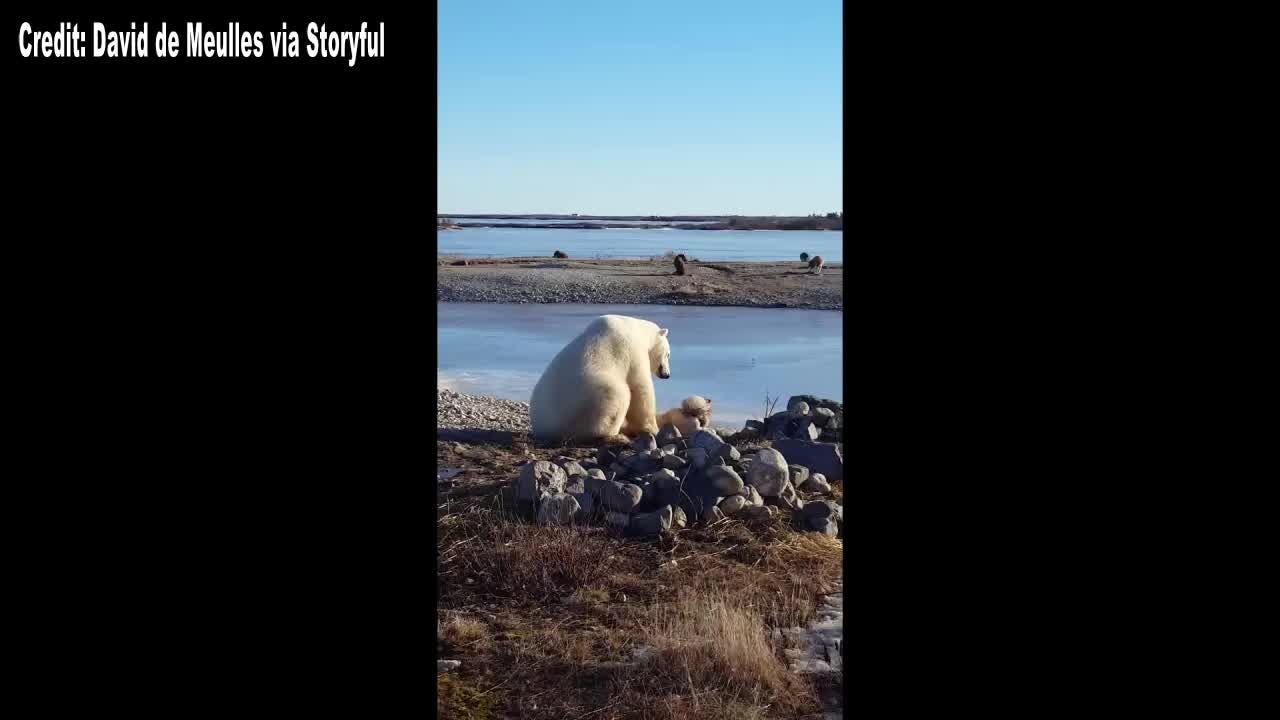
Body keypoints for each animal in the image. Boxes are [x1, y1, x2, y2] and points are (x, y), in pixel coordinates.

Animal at [529, 314, 671, 445]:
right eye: (668, 354)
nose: (667, 374)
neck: (637, 329)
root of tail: (546, 429)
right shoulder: (632, 351)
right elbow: (640, 388)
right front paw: (653, 429)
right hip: (588, 399)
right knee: (618, 396)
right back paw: (617, 434)